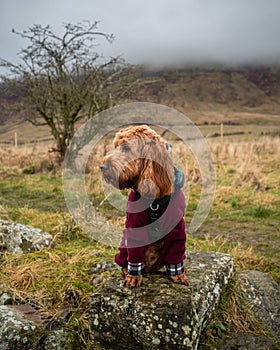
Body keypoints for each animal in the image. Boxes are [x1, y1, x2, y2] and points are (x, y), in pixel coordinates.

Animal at [99, 125, 189, 288]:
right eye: (115, 146)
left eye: (126, 147)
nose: (102, 167)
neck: (155, 200)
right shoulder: (135, 226)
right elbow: (135, 255)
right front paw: (133, 277)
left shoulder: (176, 227)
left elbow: (176, 252)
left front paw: (179, 275)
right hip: (123, 248)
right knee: (125, 262)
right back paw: (126, 271)